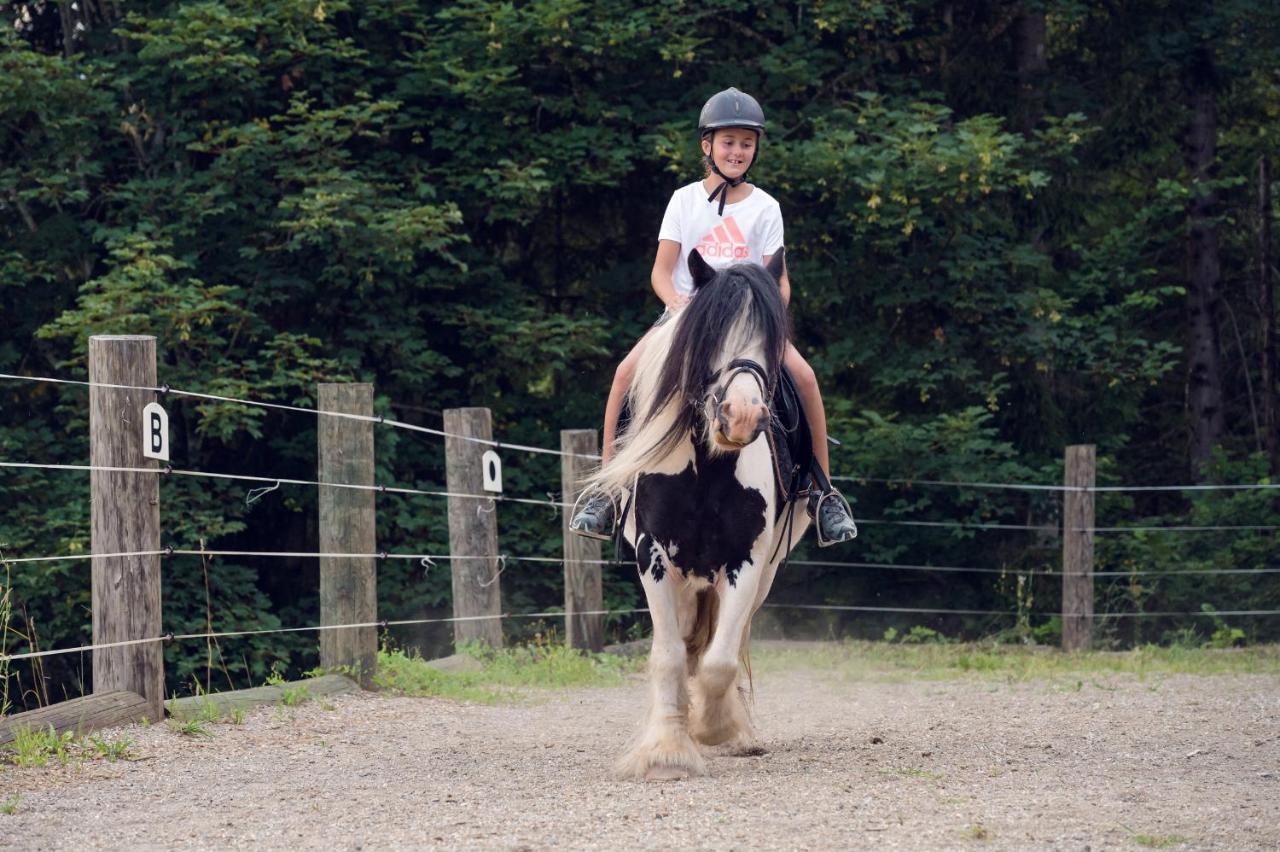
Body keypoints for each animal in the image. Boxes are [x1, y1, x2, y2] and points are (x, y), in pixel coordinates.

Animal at [588, 246, 808, 777]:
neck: (708, 466)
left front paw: (715, 726)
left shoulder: (747, 561)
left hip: (760, 575)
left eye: (773, 341)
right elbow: (669, 655)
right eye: (709, 336)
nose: (741, 417)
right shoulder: (653, 556)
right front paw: (667, 749)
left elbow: (719, 659)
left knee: (725, 642)